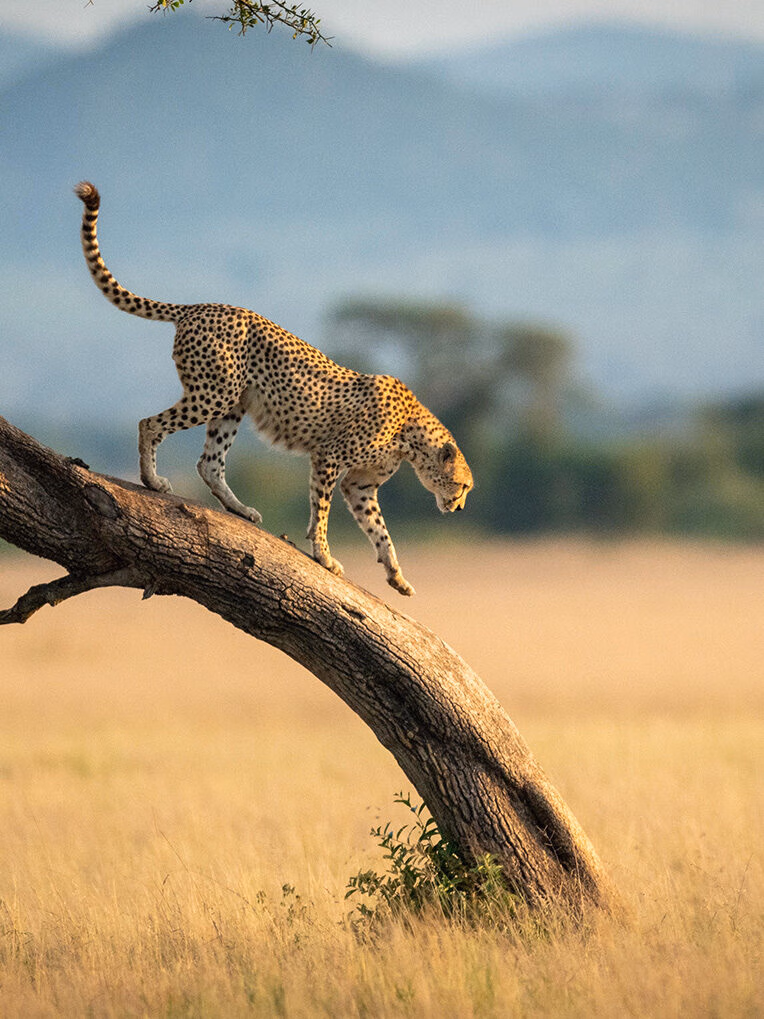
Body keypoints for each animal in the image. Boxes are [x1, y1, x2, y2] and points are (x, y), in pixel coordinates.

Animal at [74, 181, 473, 596]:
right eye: (462, 486)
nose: (458, 507)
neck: (411, 435)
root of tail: (200, 306)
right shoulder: (329, 456)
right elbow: (322, 510)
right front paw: (323, 555)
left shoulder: (360, 484)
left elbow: (379, 529)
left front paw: (396, 574)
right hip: (213, 394)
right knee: (150, 424)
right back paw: (152, 480)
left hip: (232, 404)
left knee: (209, 462)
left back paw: (239, 509)